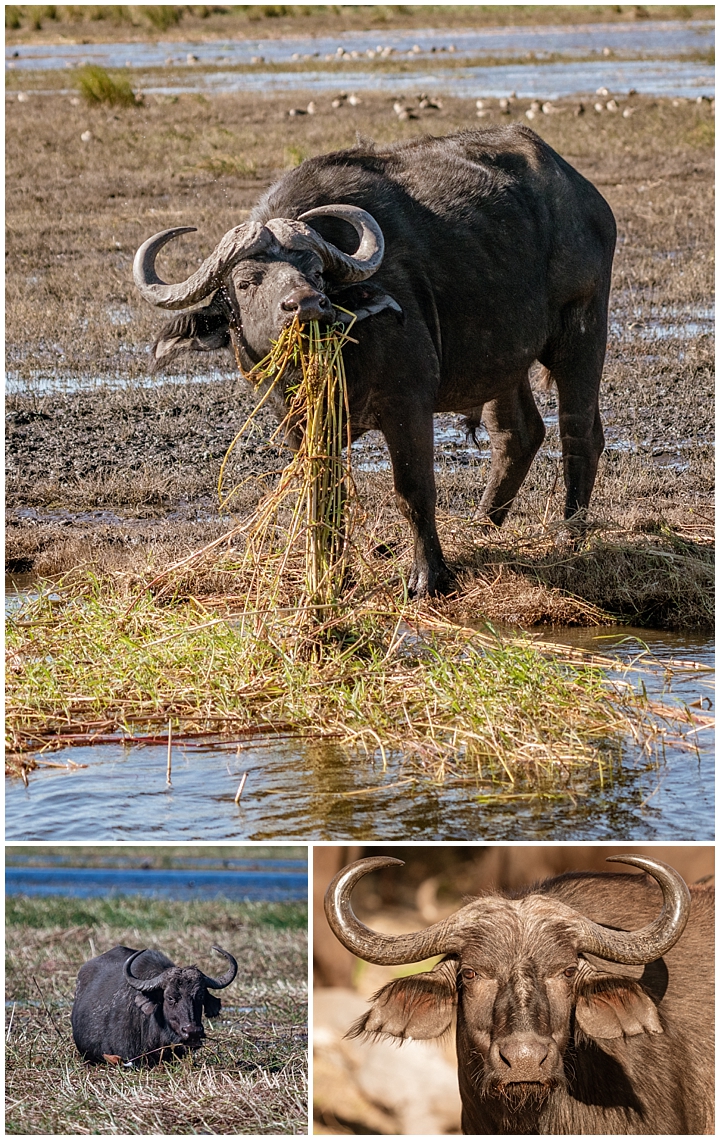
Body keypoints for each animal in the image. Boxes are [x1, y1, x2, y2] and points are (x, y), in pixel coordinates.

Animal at [133, 127, 615, 597]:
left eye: (315, 271)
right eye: (247, 281)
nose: (307, 305)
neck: (344, 360)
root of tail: (584, 194)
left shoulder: (408, 404)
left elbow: (414, 490)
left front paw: (428, 577)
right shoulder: (302, 426)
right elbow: (325, 499)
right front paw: (328, 576)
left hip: (582, 329)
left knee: (579, 434)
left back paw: (568, 538)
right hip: (502, 361)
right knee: (518, 434)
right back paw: (481, 527)